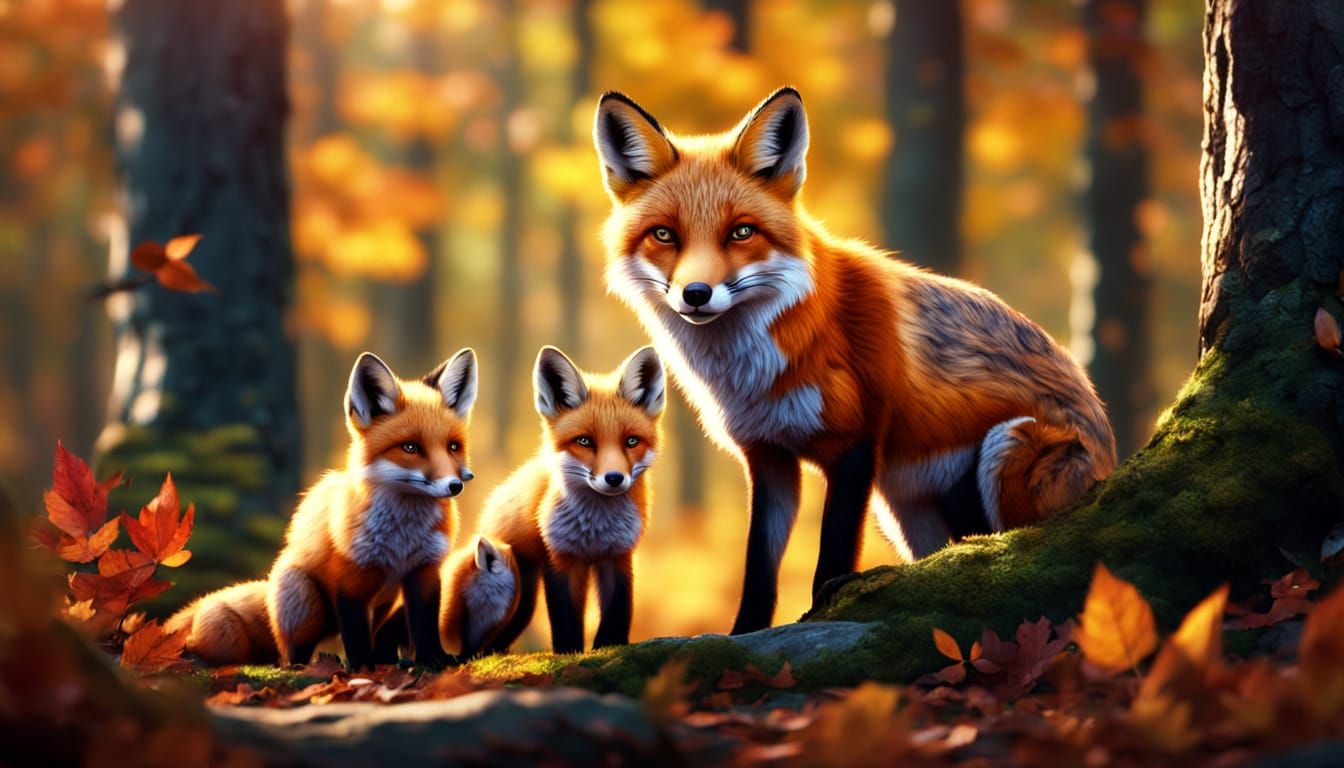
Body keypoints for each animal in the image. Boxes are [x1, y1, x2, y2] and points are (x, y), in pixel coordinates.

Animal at [266, 349, 479, 669]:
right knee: (293, 651)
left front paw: (434, 660)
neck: (402, 539)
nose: (455, 486)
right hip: (305, 603)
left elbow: (425, 626)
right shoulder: (349, 582)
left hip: (385, 601)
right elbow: (355, 635)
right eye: (410, 448)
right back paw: (308, 664)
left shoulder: (424, 571)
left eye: (453, 447)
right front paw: (362, 667)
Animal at [479, 345, 665, 653]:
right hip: (521, 598)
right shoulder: (560, 558)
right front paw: (569, 652)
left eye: (631, 441)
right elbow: (565, 620)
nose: (614, 478)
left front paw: (609, 647)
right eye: (584, 441)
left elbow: (618, 611)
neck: (596, 529)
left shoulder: (619, 555)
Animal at [594, 87, 1118, 634]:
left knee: (1001, 540)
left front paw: (823, 612)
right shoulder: (768, 456)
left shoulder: (856, 445)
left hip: (1002, 449)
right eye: (664, 235)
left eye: (741, 233)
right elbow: (758, 567)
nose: (695, 294)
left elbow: (833, 551)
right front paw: (744, 634)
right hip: (906, 514)